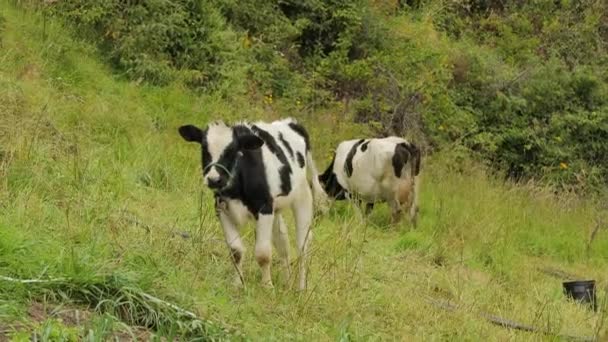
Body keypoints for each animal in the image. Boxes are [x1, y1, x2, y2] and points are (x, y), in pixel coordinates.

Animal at [178, 118, 326, 292]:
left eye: (232, 151)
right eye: (204, 148)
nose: (214, 180)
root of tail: (291, 122)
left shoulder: (264, 208)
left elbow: (263, 253)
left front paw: (267, 286)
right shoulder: (222, 209)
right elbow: (235, 251)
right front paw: (237, 284)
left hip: (303, 198)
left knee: (302, 245)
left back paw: (301, 288)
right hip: (276, 208)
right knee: (283, 242)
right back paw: (287, 283)